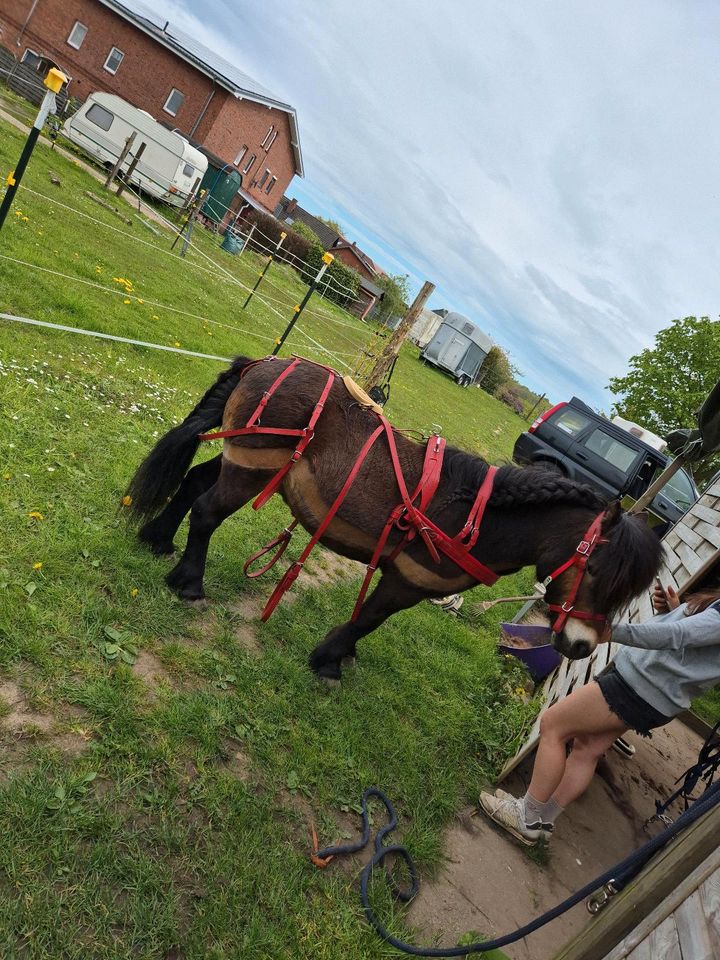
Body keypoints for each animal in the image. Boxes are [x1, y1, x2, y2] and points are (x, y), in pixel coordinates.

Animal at [125, 356, 664, 680]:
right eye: (596, 570)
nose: (582, 646)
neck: (475, 517)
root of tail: (265, 363)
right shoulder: (406, 581)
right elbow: (369, 618)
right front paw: (329, 659)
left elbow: (367, 621)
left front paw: (341, 655)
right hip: (250, 470)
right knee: (206, 511)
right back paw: (189, 581)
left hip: (247, 461)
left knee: (192, 483)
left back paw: (157, 541)